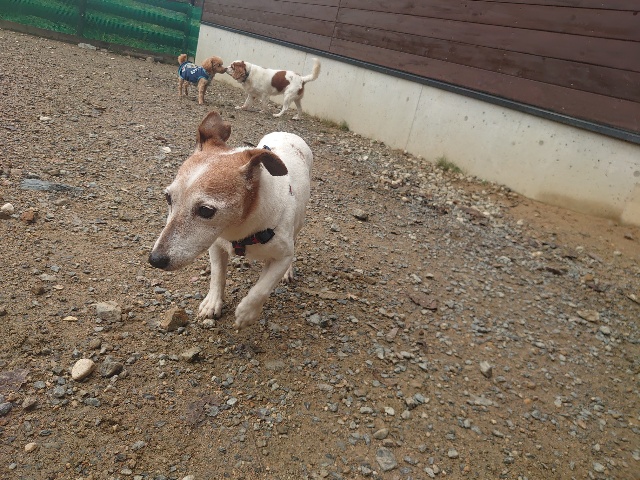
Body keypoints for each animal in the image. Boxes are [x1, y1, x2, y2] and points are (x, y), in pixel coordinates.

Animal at [148, 111, 313, 329]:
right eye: (168, 198)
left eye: (206, 211)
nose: (155, 260)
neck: (239, 228)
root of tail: (287, 132)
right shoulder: (216, 245)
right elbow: (217, 276)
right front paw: (212, 303)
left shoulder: (282, 256)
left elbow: (261, 288)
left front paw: (247, 313)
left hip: (298, 223)